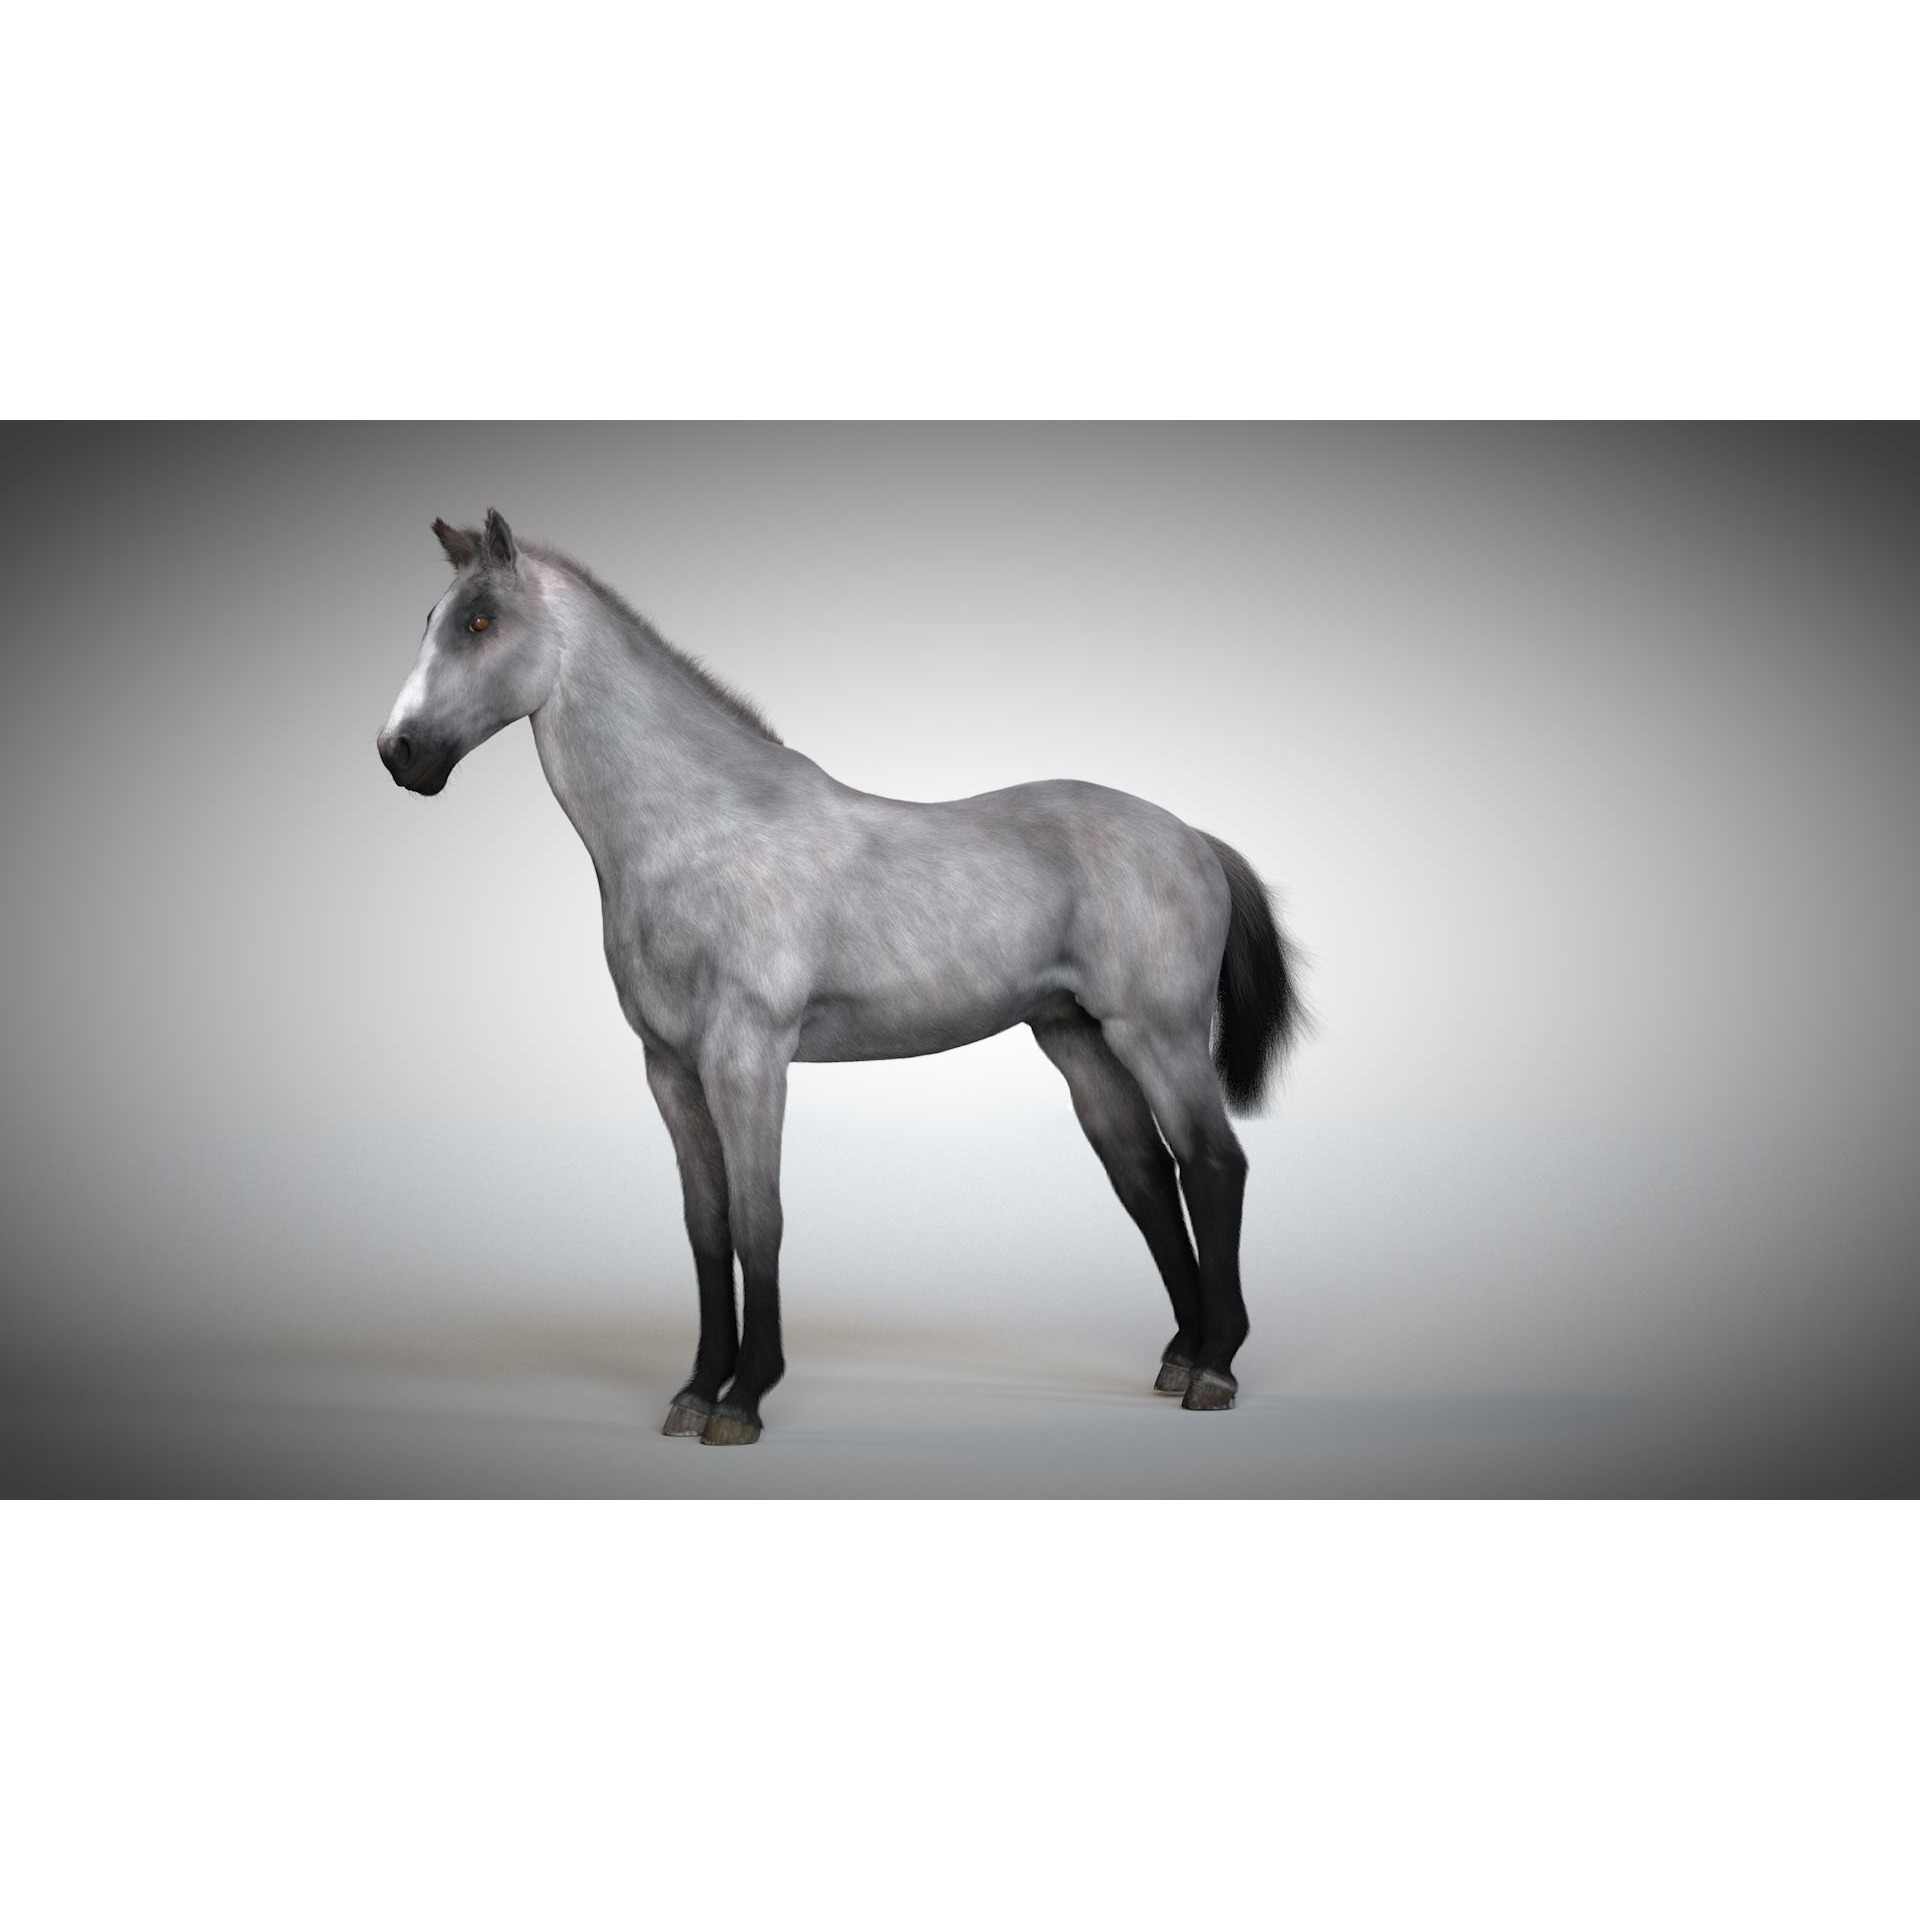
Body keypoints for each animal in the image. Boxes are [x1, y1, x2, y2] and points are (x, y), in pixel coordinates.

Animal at [376, 510, 1306, 1444]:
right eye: (430, 618)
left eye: (481, 622)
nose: (399, 752)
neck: (699, 833)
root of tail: (1192, 838)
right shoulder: (669, 1068)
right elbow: (706, 1229)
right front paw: (695, 1391)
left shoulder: (747, 1060)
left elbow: (760, 1222)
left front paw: (744, 1401)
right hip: (1077, 1038)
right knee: (1146, 1176)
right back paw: (1180, 1354)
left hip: (1157, 1034)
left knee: (1212, 1166)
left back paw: (1216, 1369)